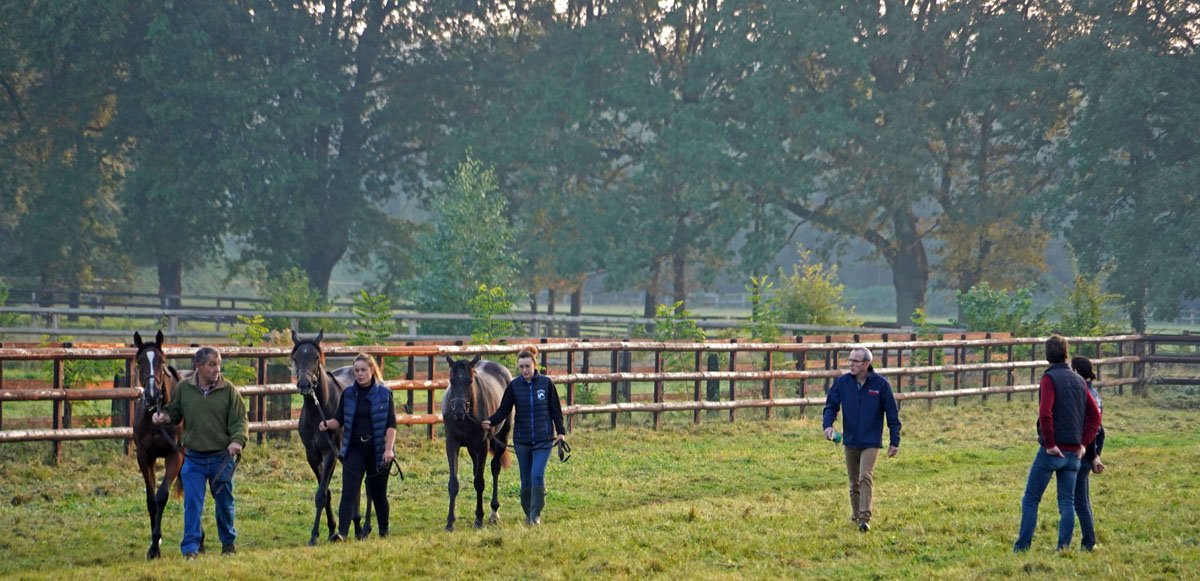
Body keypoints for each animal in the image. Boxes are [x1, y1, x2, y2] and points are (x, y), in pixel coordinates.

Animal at [290, 330, 369, 545]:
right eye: (296, 358)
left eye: (316, 358)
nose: (304, 384)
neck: (319, 411)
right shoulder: (312, 456)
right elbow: (326, 493)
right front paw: (331, 529)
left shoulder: (330, 454)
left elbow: (321, 494)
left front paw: (314, 536)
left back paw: (361, 527)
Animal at [442, 355, 513, 531]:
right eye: (451, 380)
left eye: (469, 381)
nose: (459, 410)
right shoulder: (452, 444)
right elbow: (454, 483)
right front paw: (450, 522)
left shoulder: (483, 445)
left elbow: (480, 482)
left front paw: (479, 519)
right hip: (472, 449)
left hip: (502, 438)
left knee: (495, 468)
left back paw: (494, 512)